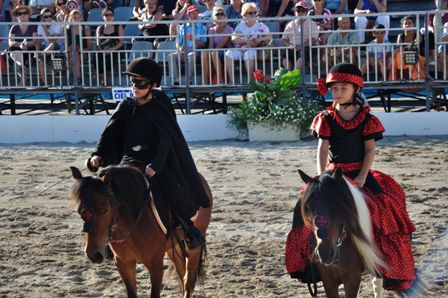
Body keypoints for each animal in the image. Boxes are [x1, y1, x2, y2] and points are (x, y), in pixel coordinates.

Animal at [69, 165, 213, 298]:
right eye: (79, 211)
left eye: (105, 210)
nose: (93, 254)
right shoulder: (124, 264)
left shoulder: (155, 264)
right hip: (174, 247)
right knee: (182, 275)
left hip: (193, 248)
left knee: (188, 281)